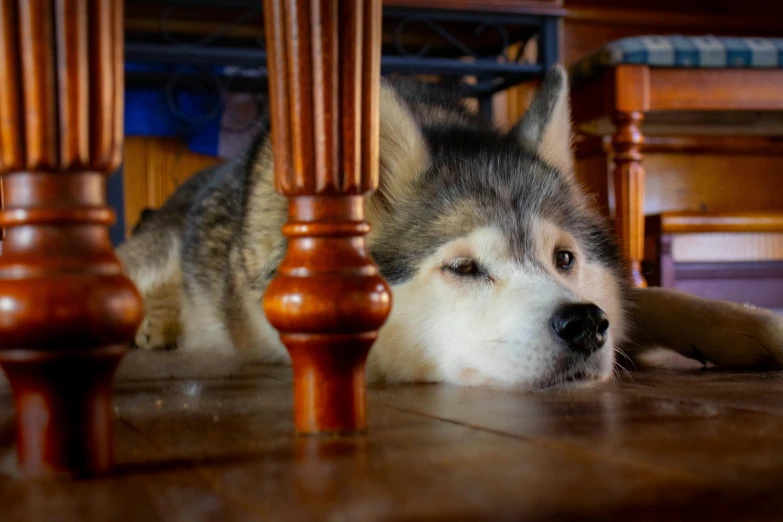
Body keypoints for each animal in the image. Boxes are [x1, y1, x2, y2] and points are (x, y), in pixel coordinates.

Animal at [116, 65, 783, 388]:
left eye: (564, 259)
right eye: (463, 267)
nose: (586, 325)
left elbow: (661, 298)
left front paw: (756, 327)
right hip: (148, 256)